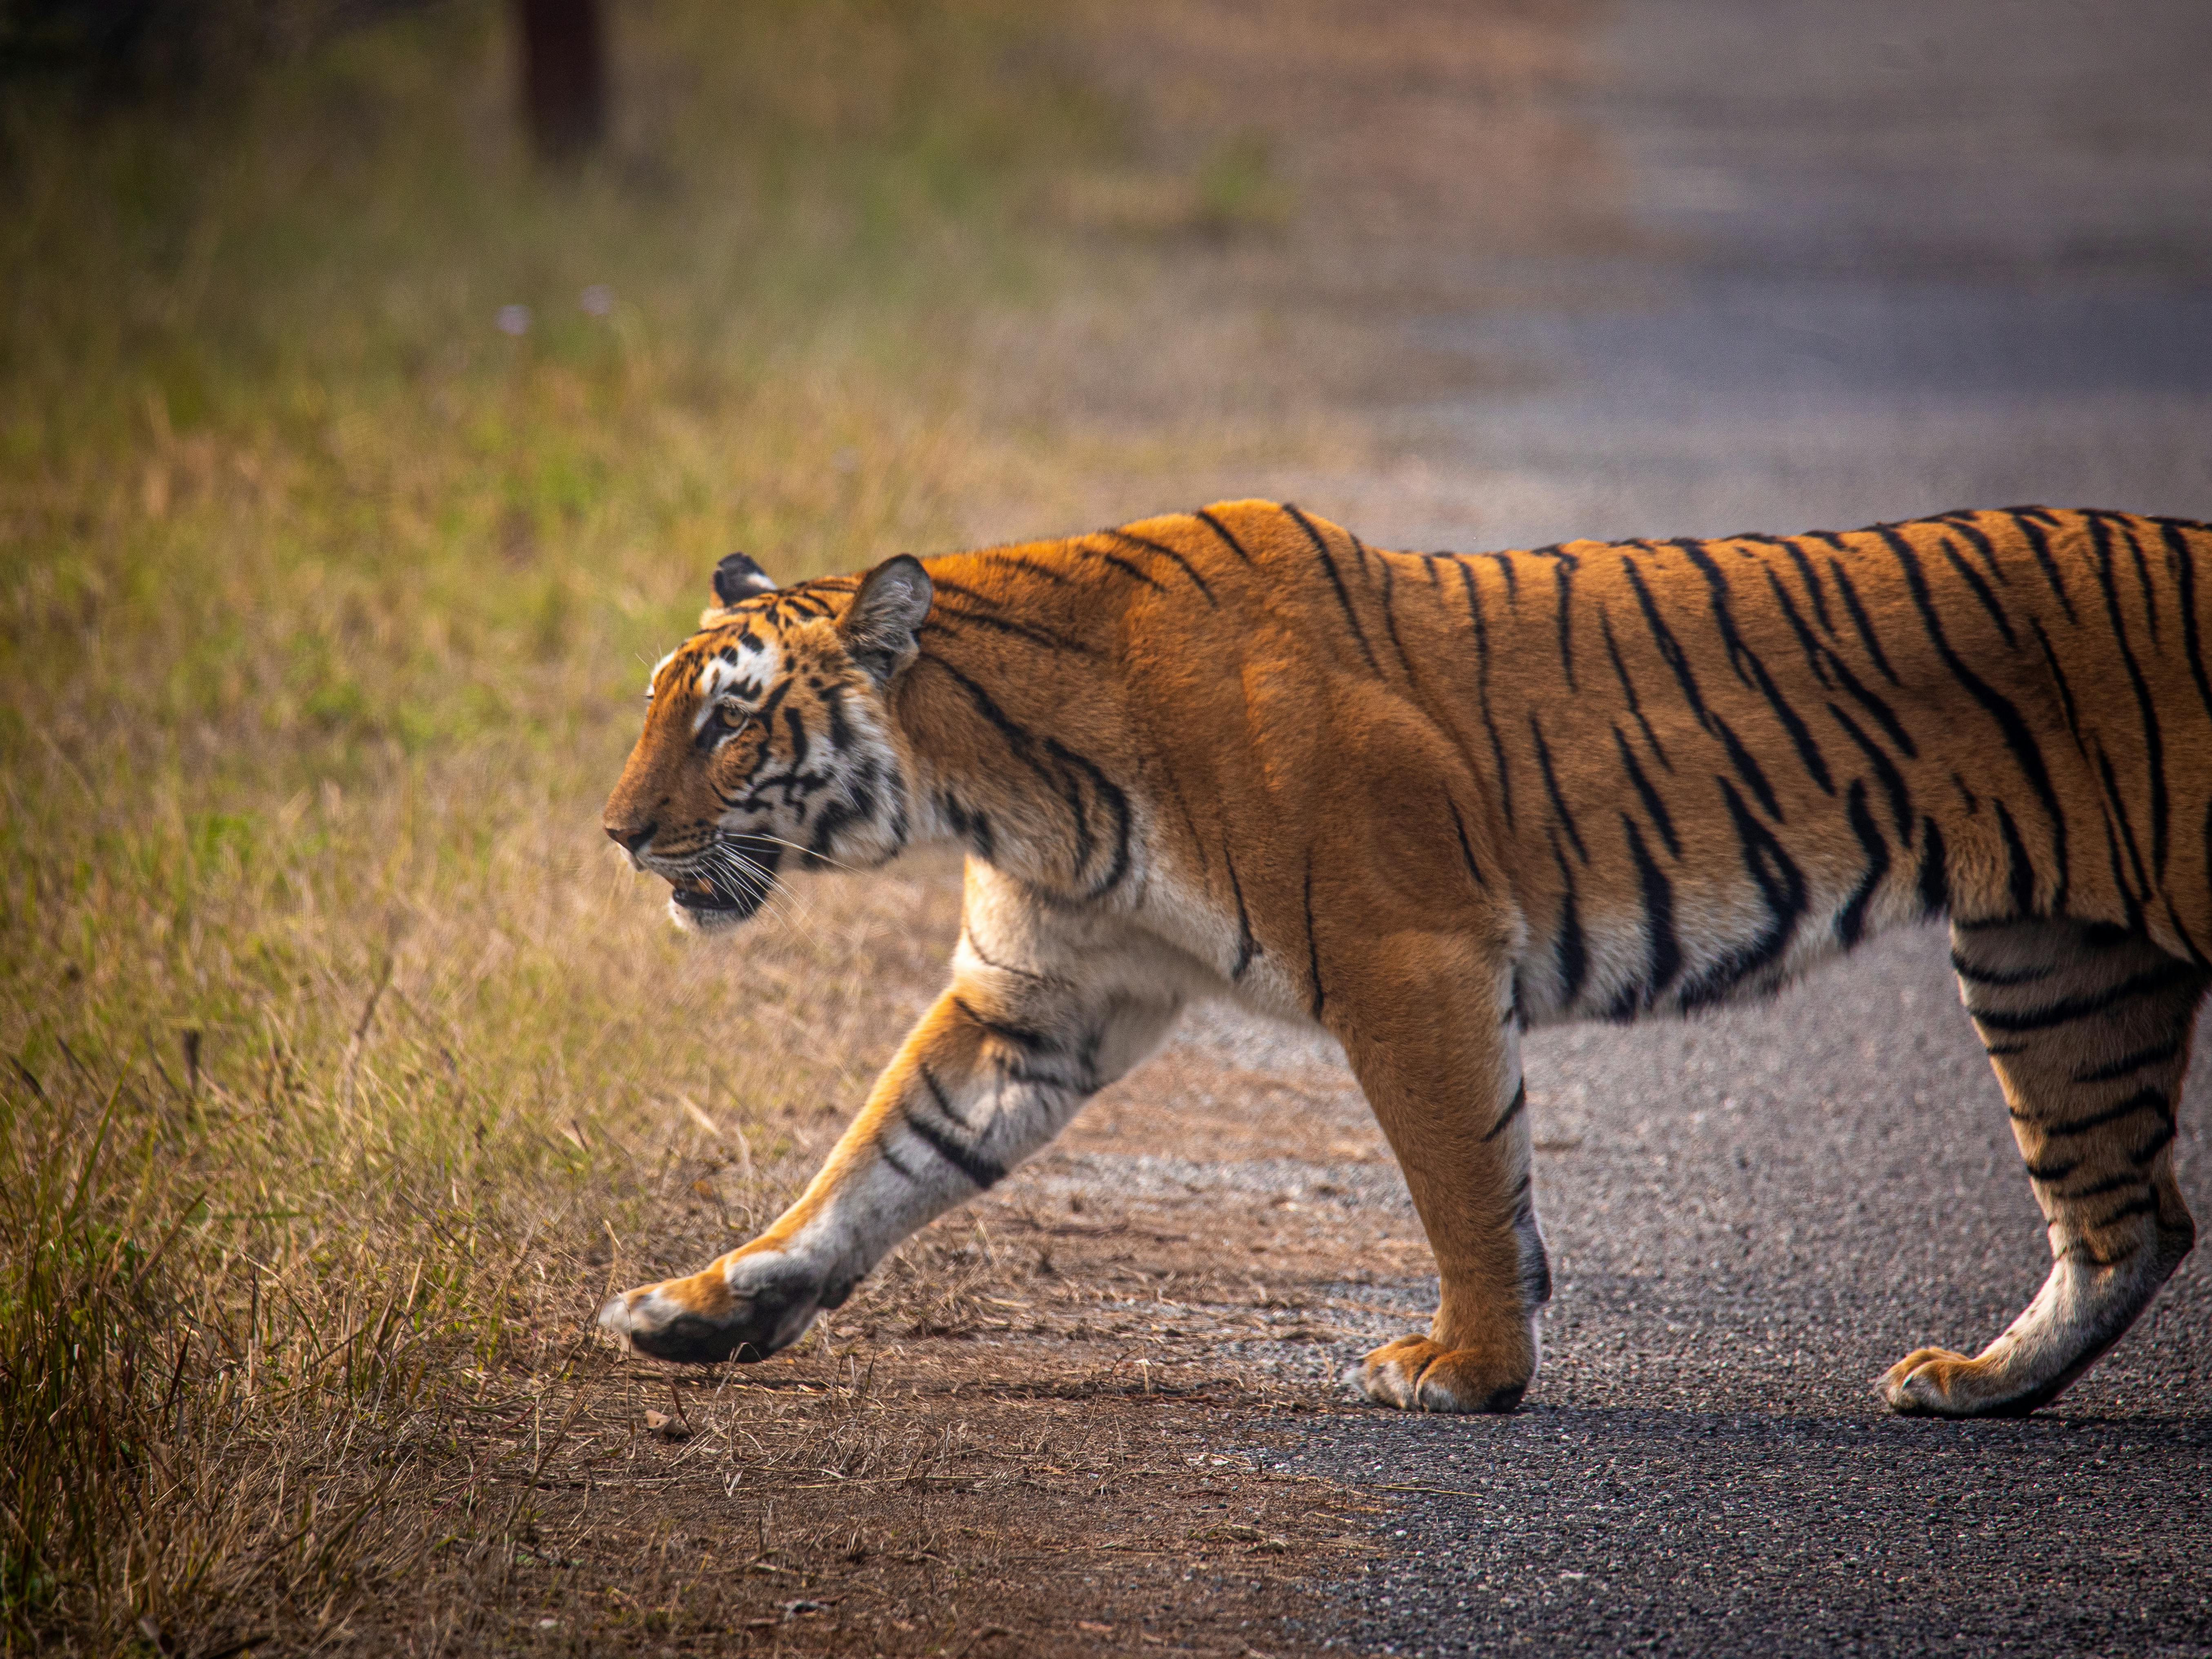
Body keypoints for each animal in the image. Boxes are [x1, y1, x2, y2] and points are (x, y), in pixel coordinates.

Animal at [596, 500, 2212, 1417]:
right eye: (660, 705)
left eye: (728, 722)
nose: (616, 833)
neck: (998, 775)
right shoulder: (1036, 999)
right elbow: (877, 1160)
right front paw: (706, 1305)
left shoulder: (1408, 956)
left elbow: (1464, 1184)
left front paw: (1470, 1370)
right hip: (2056, 962)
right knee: (2127, 1215)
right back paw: (1977, 1386)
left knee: (2126, 1208)